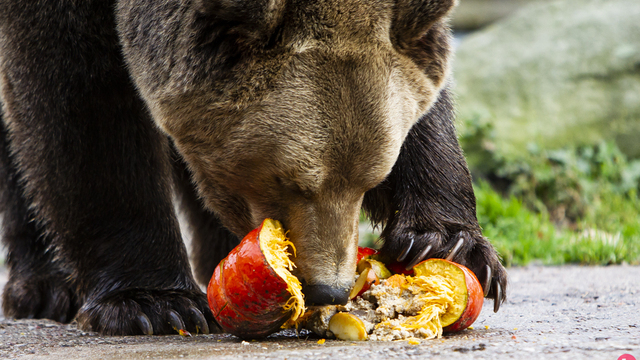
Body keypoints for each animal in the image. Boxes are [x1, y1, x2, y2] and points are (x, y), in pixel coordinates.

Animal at [0, 0, 508, 334]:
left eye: (372, 178)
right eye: (287, 180)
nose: (329, 290)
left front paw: (448, 244)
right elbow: (81, 95)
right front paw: (152, 303)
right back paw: (46, 286)